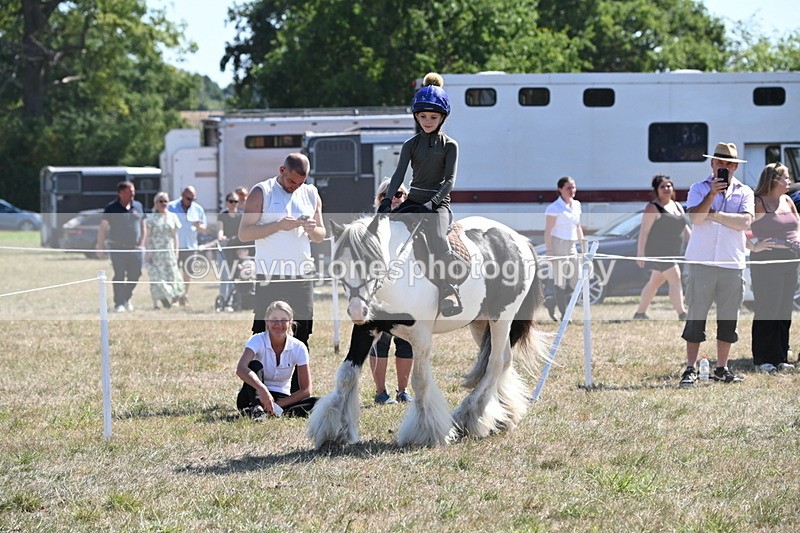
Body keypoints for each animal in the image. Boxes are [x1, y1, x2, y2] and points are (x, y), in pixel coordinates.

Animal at [307, 213, 547, 447]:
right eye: (339, 266)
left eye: (372, 263)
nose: (357, 310)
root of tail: (520, 240)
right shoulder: (366, 328)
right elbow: (346, 374)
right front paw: (334, 430)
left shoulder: (420, 335)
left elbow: (419, 380)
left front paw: (426, 432)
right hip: (481, 323)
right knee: (501, 360)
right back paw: (501, 416)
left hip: (502, 318)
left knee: (496, 362)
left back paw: (467, 416)